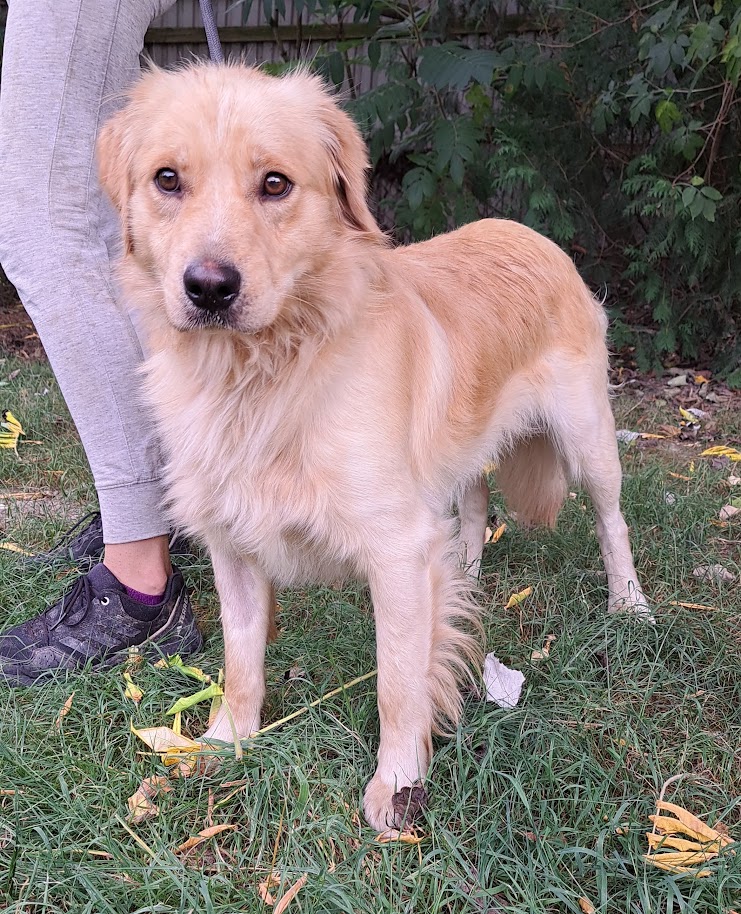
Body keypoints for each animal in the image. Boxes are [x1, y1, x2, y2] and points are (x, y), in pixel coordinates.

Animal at [97, 62, 648, 830]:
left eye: (275, 184)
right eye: (166, 179)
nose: (208, 288)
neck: (263, 377)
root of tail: (526, 229)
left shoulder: (395, 549)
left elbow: (398, 681)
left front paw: (398, 785)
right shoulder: (232, 546)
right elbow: (240, 665)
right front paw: (224, 742)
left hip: (587, 438)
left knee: (610, 519)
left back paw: (630, 605)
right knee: (473, 504)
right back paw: (467, 574)